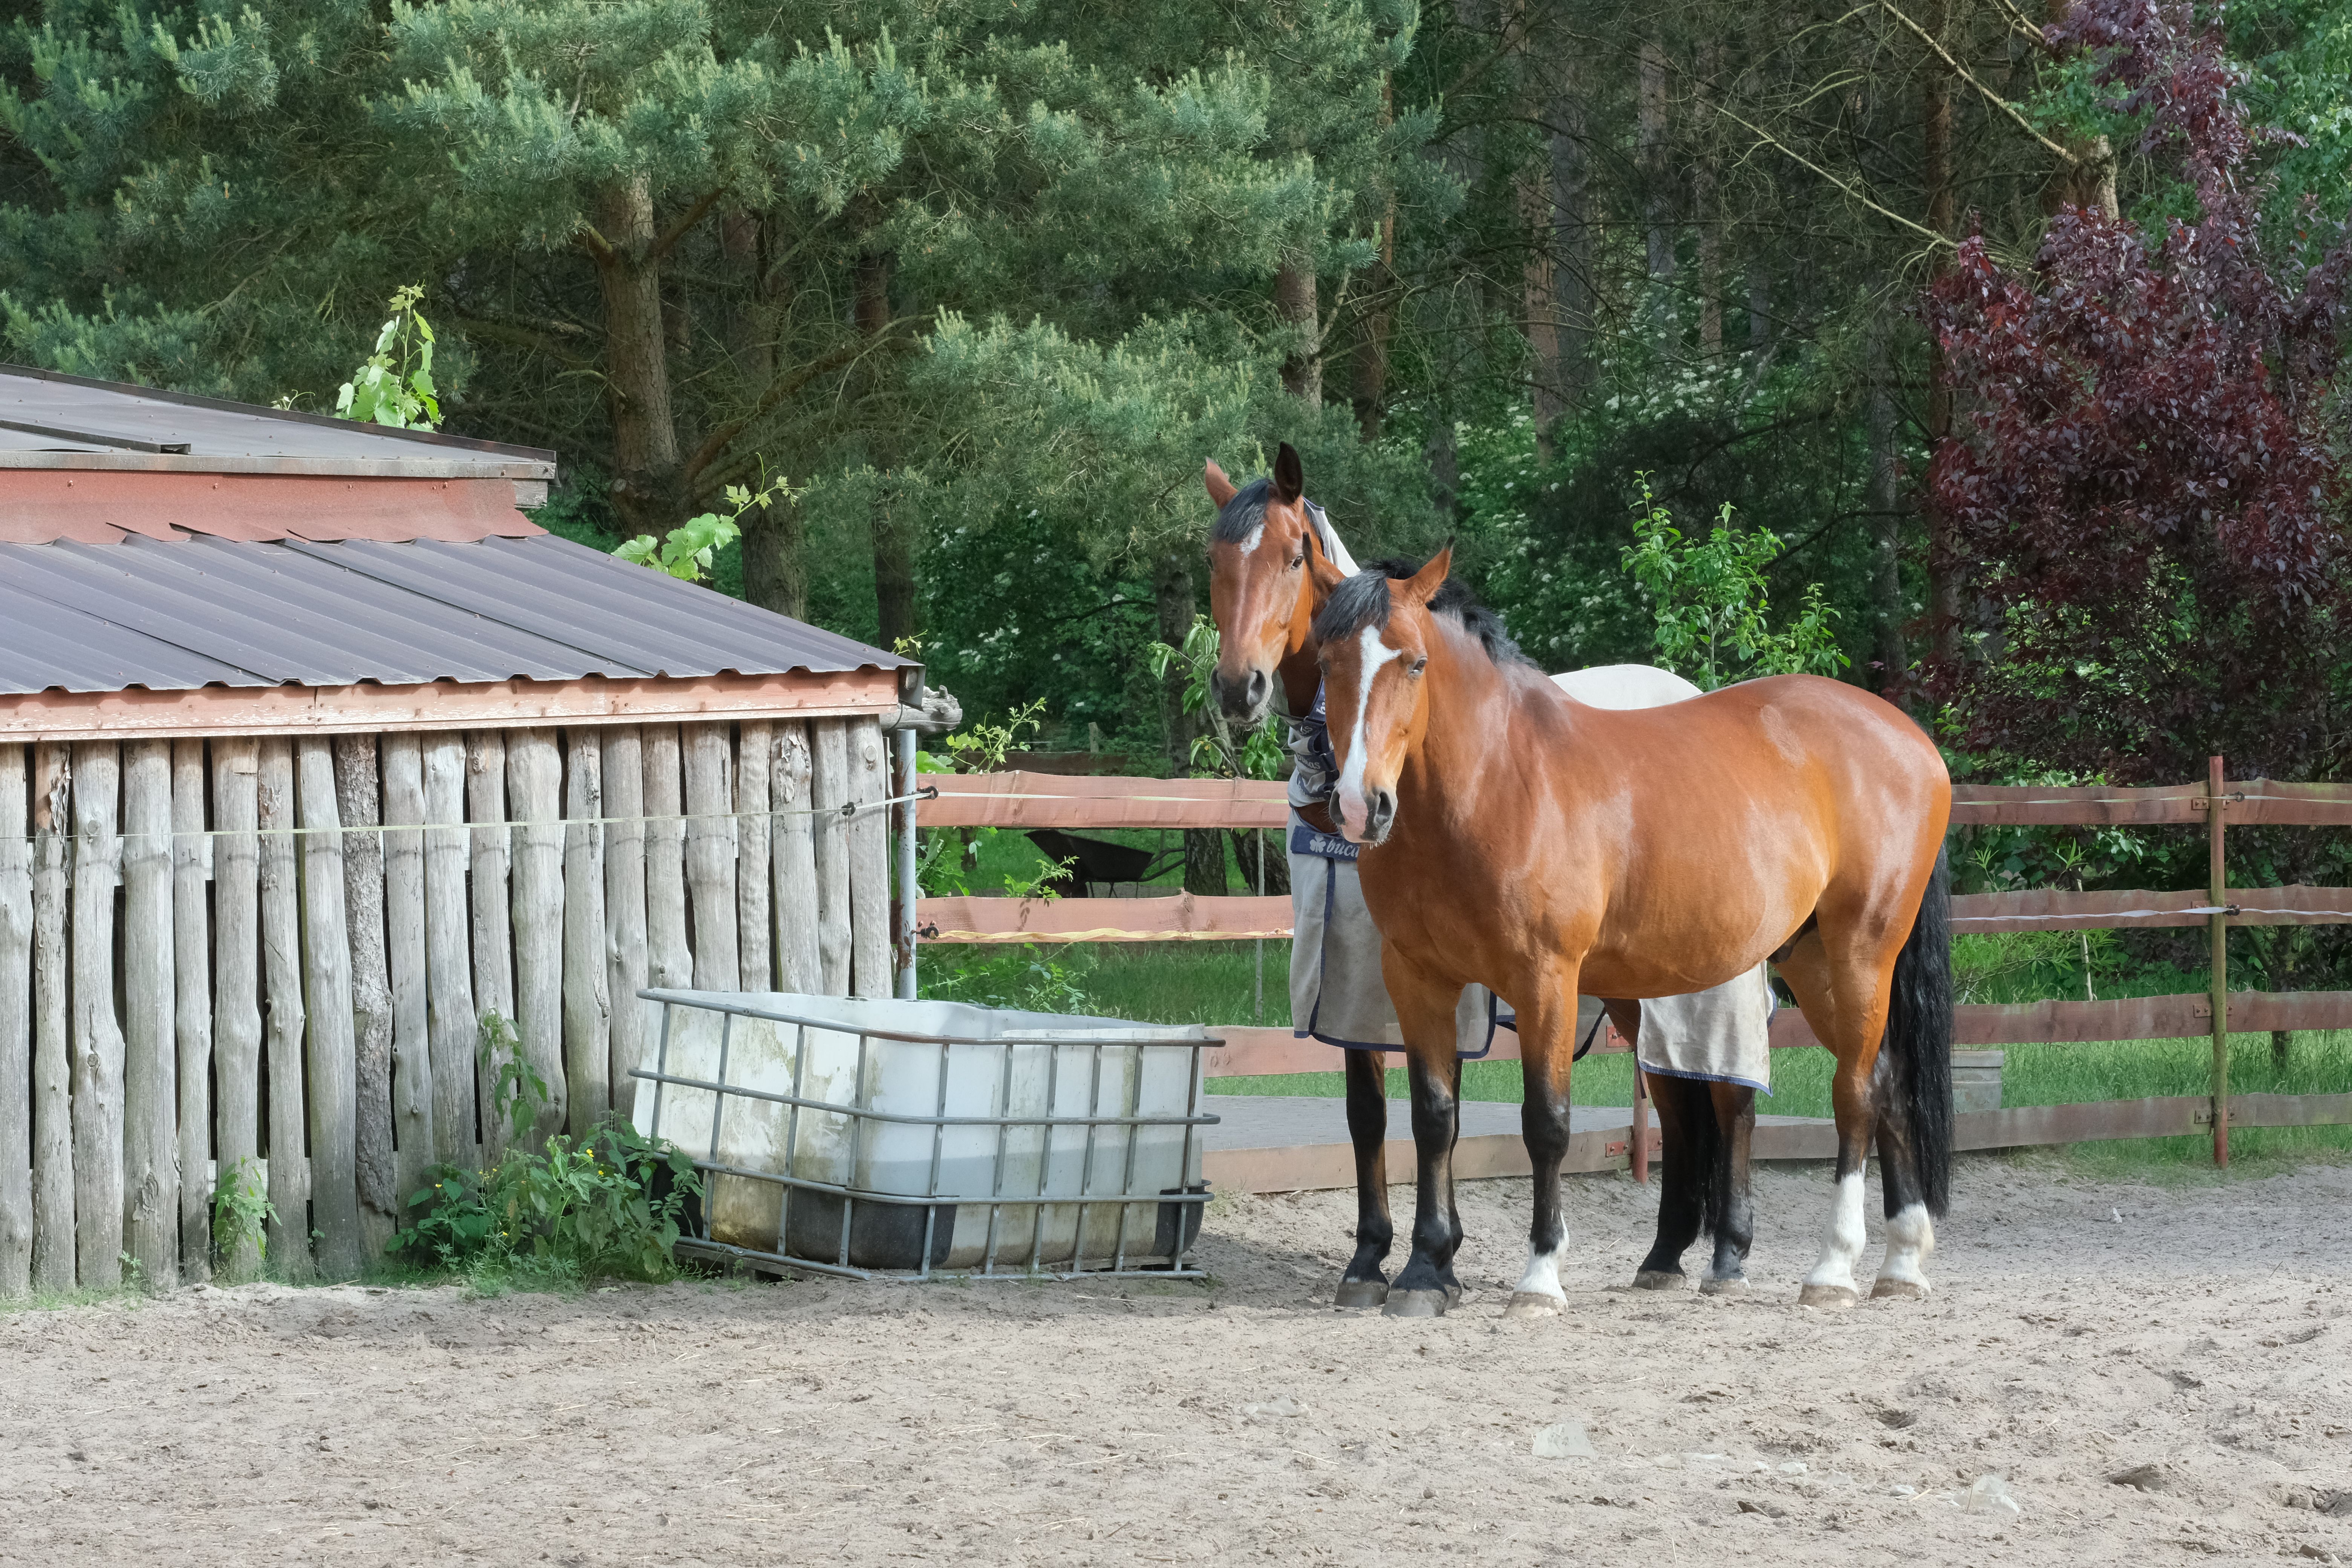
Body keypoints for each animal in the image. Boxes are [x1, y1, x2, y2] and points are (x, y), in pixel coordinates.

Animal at [1203, 445, 1776, 1305]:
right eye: (1213, 558)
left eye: (1292, 555)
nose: (1241, 687)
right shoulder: (1364, 979)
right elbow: (1381, 1115)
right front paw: (1383, 1259)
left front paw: (1441, 1259)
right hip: (1638, 981)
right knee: (1678, 1102)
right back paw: (1665, 1252)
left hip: (1706, 975)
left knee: (1728, 1096)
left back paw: (1729, 1251)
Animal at [1303, 538, 1954, 1317]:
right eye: (1327, 661)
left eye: (1415, 663)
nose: (1357, 806)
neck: (1496, 782)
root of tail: (1913, 741)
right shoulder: (1418, 976)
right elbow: (1434, 1118)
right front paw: (1425, 1271)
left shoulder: (1546, 980)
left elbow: (1546, 1123)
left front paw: (1540, 1277)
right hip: (1813, 960)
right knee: (1885, 1082)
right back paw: (1902, 1264)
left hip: (1861, 953)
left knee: (1853, 1096)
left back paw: (1832, 1269)